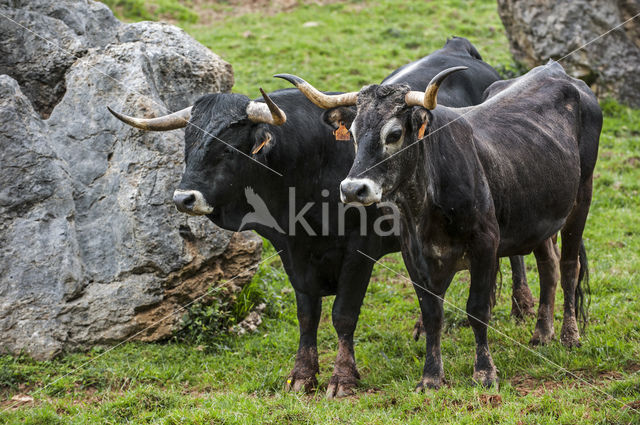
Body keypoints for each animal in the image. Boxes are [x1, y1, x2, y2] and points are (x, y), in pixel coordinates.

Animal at [109, 38, 536, 396]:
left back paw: (523, 305)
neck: (308, 169)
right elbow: (307, 314)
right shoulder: (292, 251)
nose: (184, 197)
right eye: (189, 142)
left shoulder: (358, 252)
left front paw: (342, 378)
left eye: (228, 148)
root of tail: (459, 47)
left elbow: (343, 315)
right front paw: (302, 375)